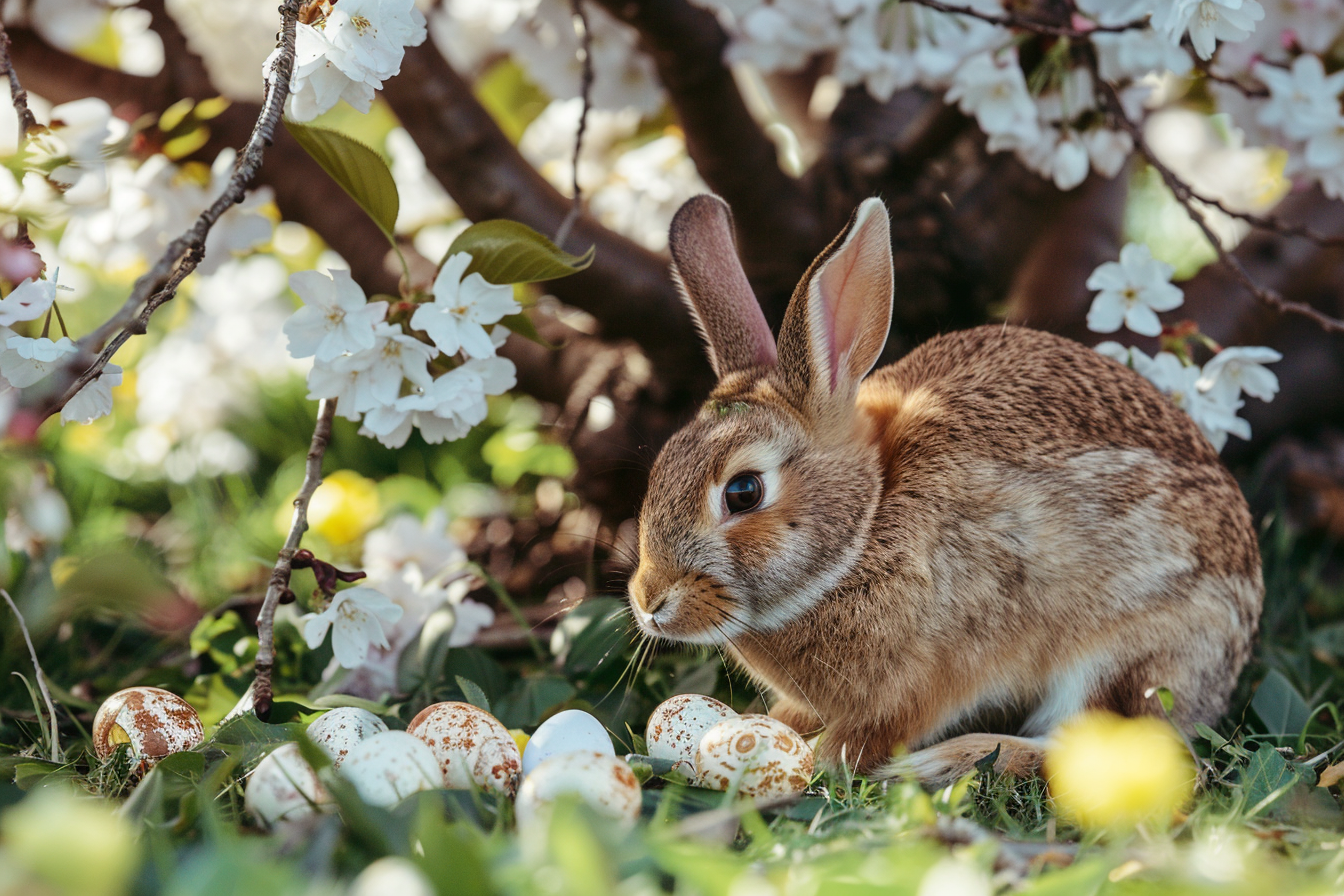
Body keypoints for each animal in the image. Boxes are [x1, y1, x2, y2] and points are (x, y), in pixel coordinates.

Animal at [626, 193, 1263, 785]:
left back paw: (950, 760)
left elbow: (878, 730)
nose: (650, 602)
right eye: (661, 466)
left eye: (744, 492)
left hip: (1129, 654)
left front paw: (823, 758)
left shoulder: (927, 676)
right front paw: (785, 724)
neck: (867, 520)